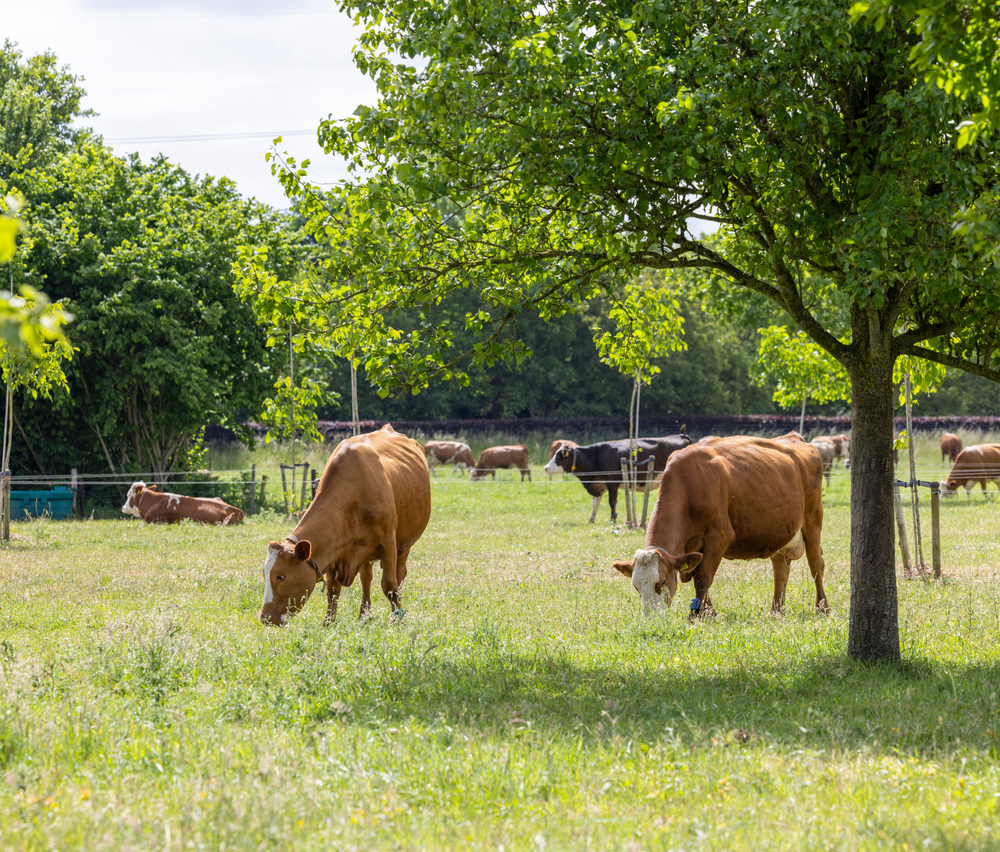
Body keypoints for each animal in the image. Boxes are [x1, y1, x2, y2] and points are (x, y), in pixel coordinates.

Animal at [260, 424, 431, 626]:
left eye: (280, 576)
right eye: (264, 575)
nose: (265, 618)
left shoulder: (388, 543)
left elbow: (389, 585)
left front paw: (398, 619)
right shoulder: (334, 550)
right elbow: (333, 590)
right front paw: (328, 622)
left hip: (404, 544)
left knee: (400, 574)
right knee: (366, 577)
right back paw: (364, 614)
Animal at [543, 435, 692, 523]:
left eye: (559, 456)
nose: (545, 467)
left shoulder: (612, 483)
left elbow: (612, 502)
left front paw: (613, 519)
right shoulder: (598, 486)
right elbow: (595, 504)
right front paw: (591, 519)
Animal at [612, 433, 827, 617]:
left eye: (662, 581)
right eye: (636, 586)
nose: (652, 617)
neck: (689, 484)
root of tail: (795, 438)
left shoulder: (719, 537)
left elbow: (703, 577)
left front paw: (696, 615)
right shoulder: (691, 547)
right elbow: (698, 577)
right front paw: (709, 613)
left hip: (812, 519)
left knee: (816, 564)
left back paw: (822, 607)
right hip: (779, 533)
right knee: (780, 568)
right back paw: (776, 611)